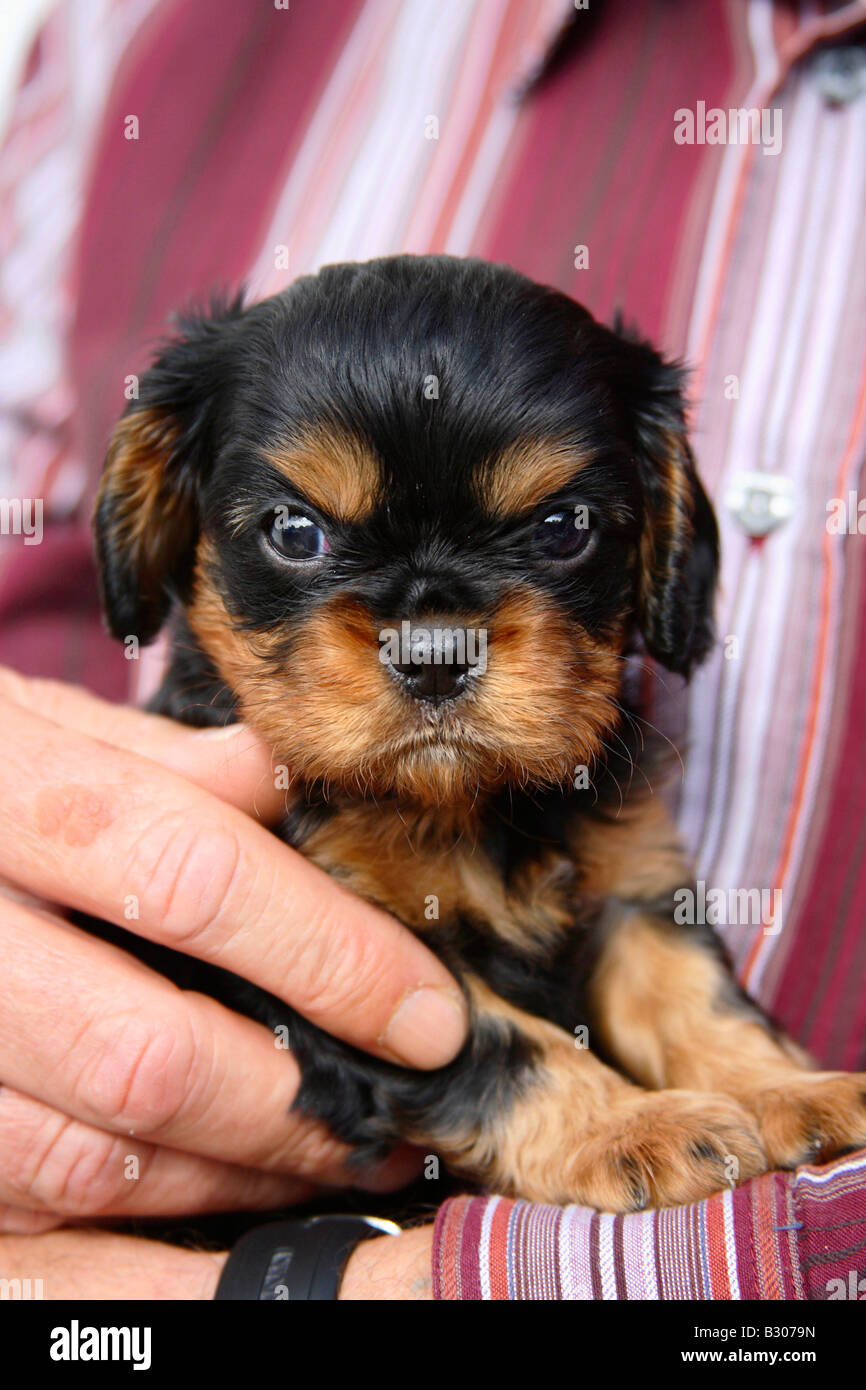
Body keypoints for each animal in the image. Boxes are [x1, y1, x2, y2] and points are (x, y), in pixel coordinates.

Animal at [93, 255, 866, 1212]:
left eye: (563, 527)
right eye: (295, 532)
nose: (434, 653)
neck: (463, 805)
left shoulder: (632, 886)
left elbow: (692, 990)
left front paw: (785, 1087)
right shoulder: (332, 954)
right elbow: (503, 1045)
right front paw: (633, 1126)